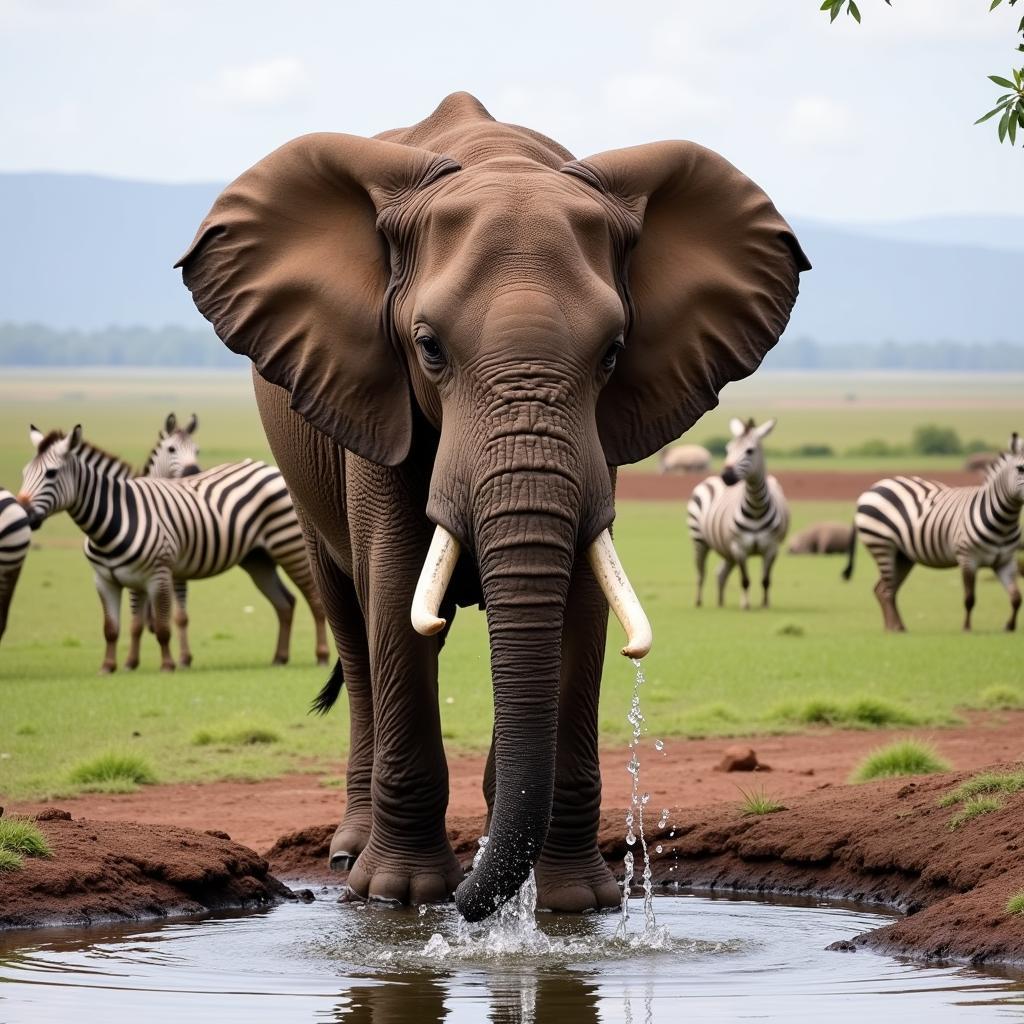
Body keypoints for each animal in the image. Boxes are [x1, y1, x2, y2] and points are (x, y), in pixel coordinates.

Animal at [18, 423, 327, 671]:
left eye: (51, 473)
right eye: (24, 473)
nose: (24, 514)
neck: (114, 518)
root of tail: (270, 467)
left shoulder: (158, 573)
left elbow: (165, 625)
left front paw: (169, 664)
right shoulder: (108, 579)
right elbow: (116, 627)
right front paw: (114, 666)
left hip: (289, 547)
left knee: (315, 599)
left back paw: (321, 655)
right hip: (258, 560)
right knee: (285, 603)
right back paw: (279, 657)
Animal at [688, 415, 790, 606]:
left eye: (749, 451)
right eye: (728, 449)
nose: (726, 476)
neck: (756, 508)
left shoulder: (771, 549)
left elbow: (765, 580)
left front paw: (765, 604)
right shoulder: (739, 548)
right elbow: (745, 580)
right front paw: (745, 605)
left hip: (727, 551)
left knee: (720, 573)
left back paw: (720, 602)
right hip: (700, 540)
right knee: (700, 573)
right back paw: (698, 601)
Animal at [847, 432, 1024, 630]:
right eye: (1020, 469)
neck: (1004, 523)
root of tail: (871, 489)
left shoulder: (1006, 561)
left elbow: (1016, 598)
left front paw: (1009, 627)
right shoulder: (967, 558)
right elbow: (969, 598)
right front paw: (966, 628)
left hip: (902, 555)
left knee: (883, 589)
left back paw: (894, 627)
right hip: (881, 544)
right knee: (887, 590)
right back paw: (894, 628)